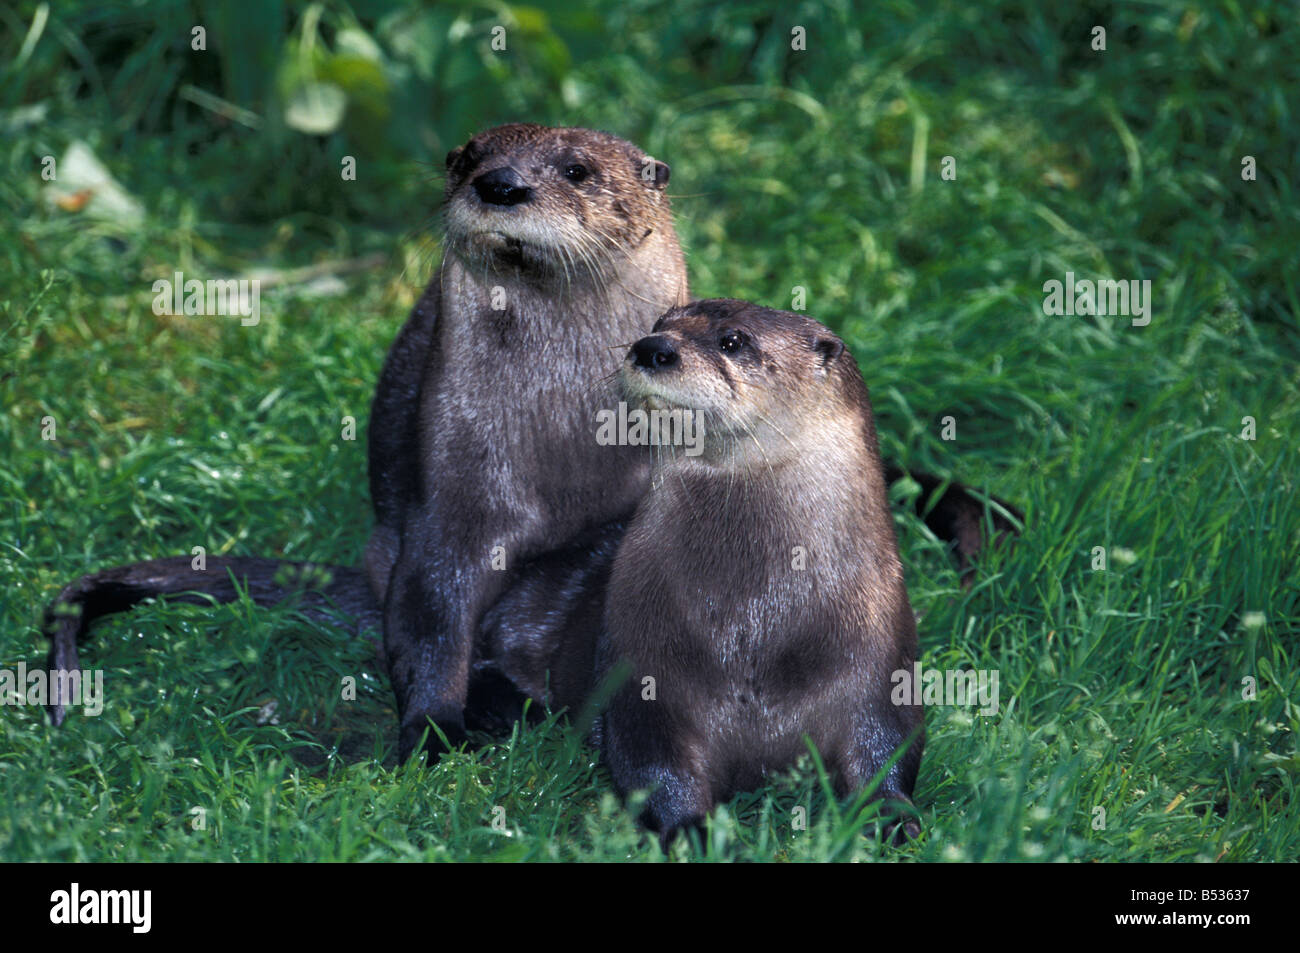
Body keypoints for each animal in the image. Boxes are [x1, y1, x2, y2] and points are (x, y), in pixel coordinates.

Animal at [43, 120, 1013, 759]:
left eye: (578, 169)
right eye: (465, 158)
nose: (501, 185)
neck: (566, 440)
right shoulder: (454, 502)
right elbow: (435, 607)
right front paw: (430, 730)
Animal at [598, 297, 925, 842]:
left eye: (733, 340)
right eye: (658, 324)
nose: (652, 347)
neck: (752, 631)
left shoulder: (878, 658)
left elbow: (886, 746)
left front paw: (893, 818)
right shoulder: (644, 672)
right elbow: (651, 761)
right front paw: (691, 831)